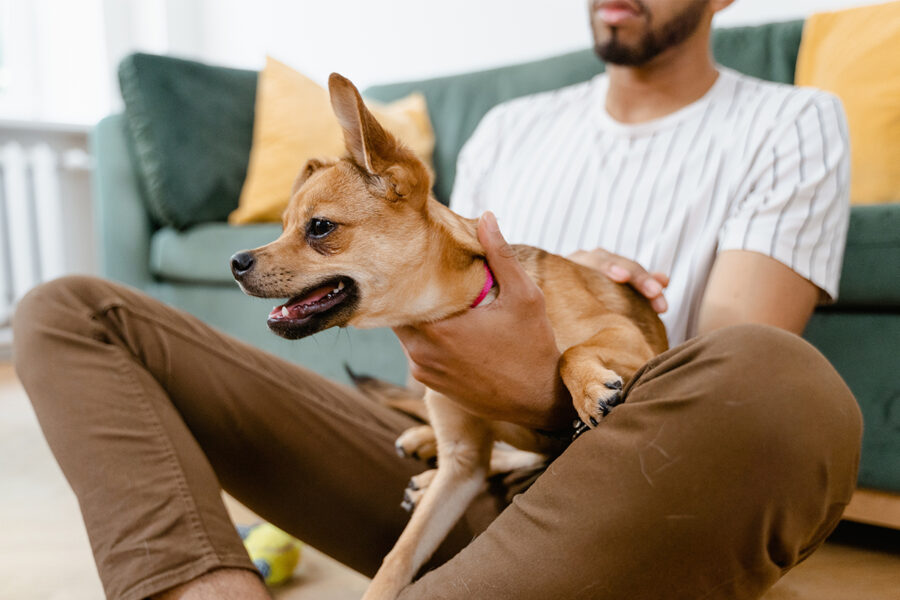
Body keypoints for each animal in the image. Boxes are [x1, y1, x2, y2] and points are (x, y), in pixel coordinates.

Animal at [232, 72, 668, 596]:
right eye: (280, 227)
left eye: (319, 228)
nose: (235, 262)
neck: (458, 308)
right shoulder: (461, 467)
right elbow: (400, 556)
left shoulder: (625, 334)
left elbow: (570, 352)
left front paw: (587, 388)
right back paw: (424, 451)